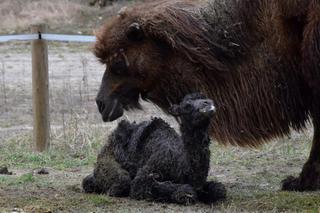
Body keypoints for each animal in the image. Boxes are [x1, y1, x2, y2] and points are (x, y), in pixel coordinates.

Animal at [84, 93, 226, 203]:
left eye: (206, 98)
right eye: (187, 106)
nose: (208, 103)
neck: (182, 163)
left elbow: (220, 190)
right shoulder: (147, 173)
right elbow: (184, 190)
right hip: (106, 161)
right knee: (120, 182)